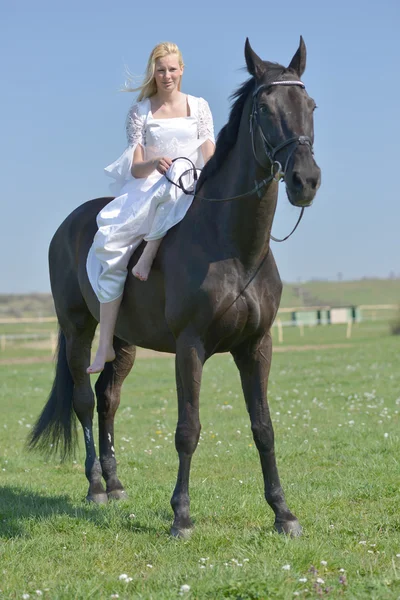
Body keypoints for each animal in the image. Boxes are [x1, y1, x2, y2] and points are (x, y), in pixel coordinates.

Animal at [28, 41, 322, 540]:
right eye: (264, 109)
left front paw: (283, 513)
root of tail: (68, 224)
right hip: (76, 328)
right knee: (85, 401)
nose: (306, 181)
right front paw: (181, 516)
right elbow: (188, 429)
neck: (232, 247)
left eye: (311, 106)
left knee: (108, 399)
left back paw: (115, 483)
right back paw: (95, 487)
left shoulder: (256, 346)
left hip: (121, 340)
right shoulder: (190, 347)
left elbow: (263, 428)